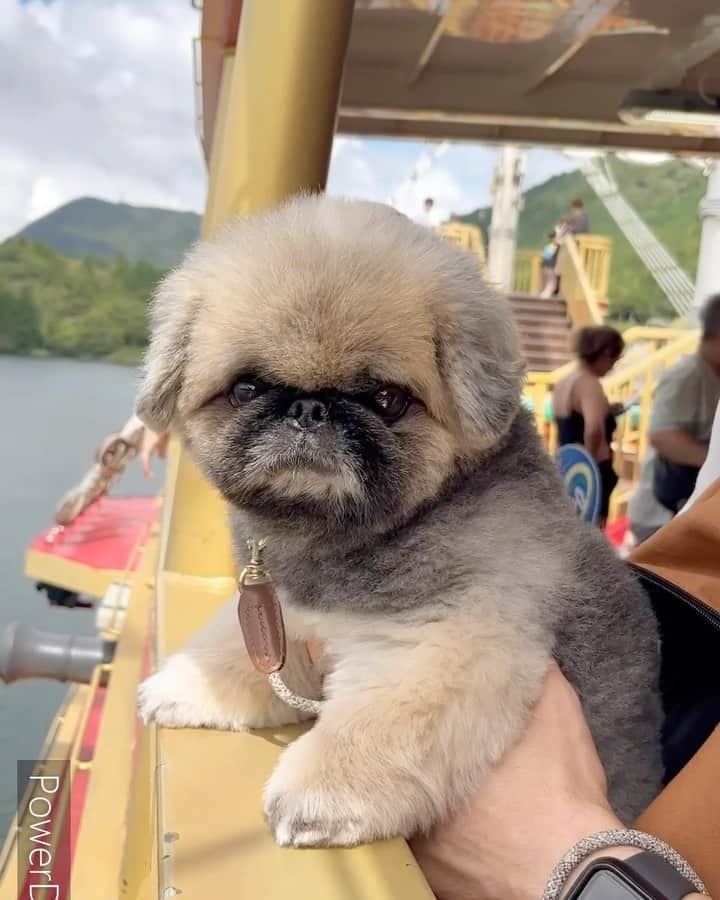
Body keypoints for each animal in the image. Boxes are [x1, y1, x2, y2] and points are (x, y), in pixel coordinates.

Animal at [136, 193, 664, 848]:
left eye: (386, 400)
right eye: (247, 388)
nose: (308, 408)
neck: (340, 535)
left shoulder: (454, 636)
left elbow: (376, 725)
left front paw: (323, 791)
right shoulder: (285, 618)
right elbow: (231, 650)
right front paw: (188, 683)